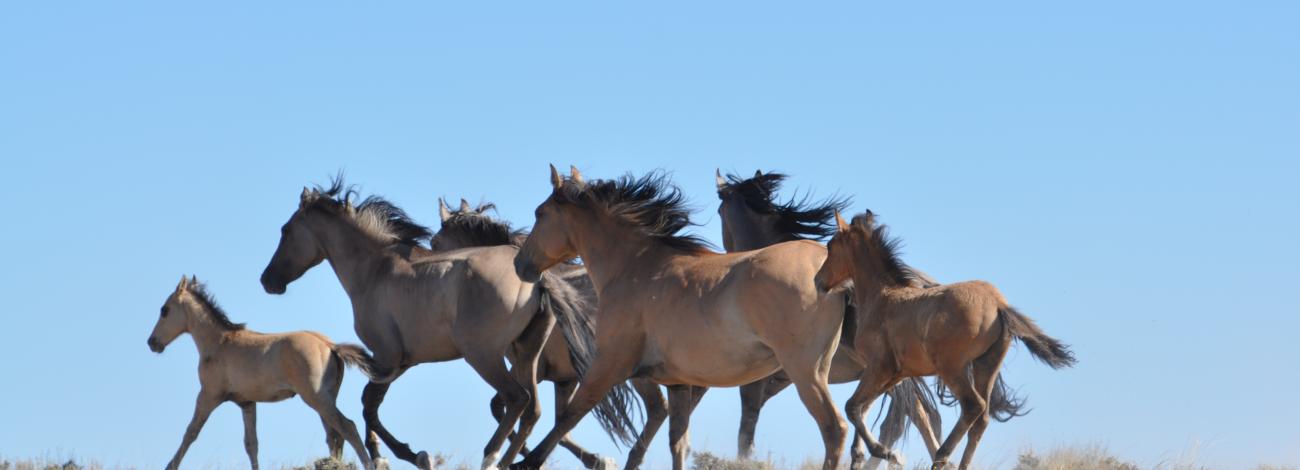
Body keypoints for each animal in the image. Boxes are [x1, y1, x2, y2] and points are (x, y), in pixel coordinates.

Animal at [148, 275, 384, 470]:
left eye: (164, 310)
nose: (152, 342)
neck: (219, 343)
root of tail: (329, 345)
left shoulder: (208, 395)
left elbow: (190, 432)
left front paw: (170, 466)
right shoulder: (247, 403)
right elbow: (251, 444)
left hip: (316, 397)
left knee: (348, 427)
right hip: (325, 399)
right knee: (334, 435)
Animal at [256, 177, 637, 467]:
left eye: (285, 230)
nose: (268, 280)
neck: (376, 269)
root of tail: (538, 278)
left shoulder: (387, 358)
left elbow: (368, 406)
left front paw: (401, 456)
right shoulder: (403, 362)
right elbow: (369, 405)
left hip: (484, 356)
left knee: (516, 400)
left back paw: (492, 457)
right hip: (526, 355)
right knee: (532, 411)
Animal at [431, 198, 665, 470]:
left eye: (434, 243)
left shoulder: (532, 369)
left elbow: (506, 407)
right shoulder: (564, 379)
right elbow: (561, 424)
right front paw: (593, 459)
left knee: (658, 408)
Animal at [512, 166, 857, 470]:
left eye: (539, 213)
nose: (520, 264)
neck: (635, 269)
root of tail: (828, 270)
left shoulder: (609, 364)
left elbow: (572, 413)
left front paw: (526, 462)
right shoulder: (679, 383)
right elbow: (678, 441)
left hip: (803, 370)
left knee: (834, 428)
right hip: (815, 369)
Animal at [811, 212, 1076, 470]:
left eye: (831, 245)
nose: (817, 281)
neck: (883, 296)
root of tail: (999, 305)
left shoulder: (879, 366)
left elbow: (853, 406)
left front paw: (886, 452)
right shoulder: (896, 374)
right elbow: (863, 407)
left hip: (953, 368)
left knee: (973, 405)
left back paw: (942, 456)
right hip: (985, 365)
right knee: (982, 418)